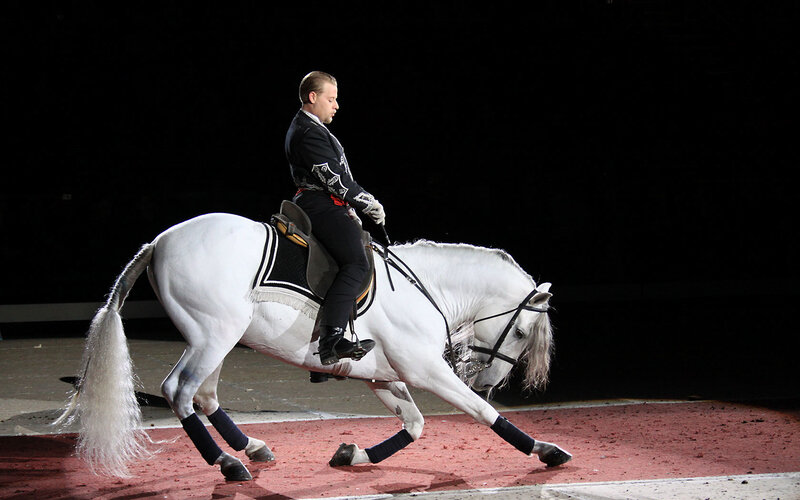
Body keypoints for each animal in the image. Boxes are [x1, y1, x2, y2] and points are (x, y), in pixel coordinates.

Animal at [56, 212, 572, 481]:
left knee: (204, 395)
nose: (489, 381)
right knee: (180, 392)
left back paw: (253, 448)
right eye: (521, 333)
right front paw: (546, 450)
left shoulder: (384, 375)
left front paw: (353, 455)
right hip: (214, 335)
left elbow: (416, 425)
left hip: (215, 338)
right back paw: (229, 463)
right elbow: (482, 415)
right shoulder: (424, 369)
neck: (426, 288)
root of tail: (159, 241)